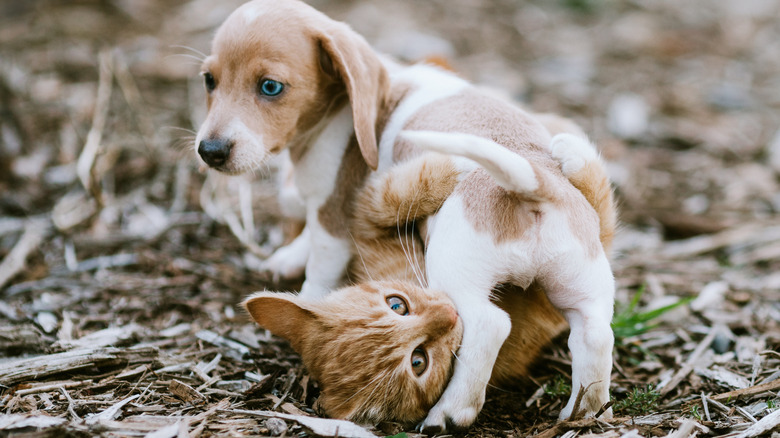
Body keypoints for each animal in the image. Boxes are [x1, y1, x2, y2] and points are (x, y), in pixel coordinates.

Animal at [197, 0, 616, 432]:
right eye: (209, 81)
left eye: (270, 87)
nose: (209, 151)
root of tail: (534, 182)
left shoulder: (333, 215)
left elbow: (319, 265)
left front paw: (308, 305)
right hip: (581, 282)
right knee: (594, 335)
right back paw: (584, 410)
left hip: (452, 270)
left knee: (490, 325)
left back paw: (451, 411)